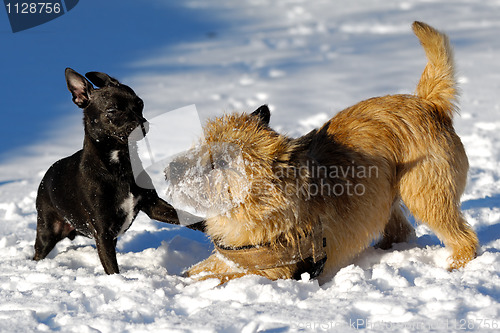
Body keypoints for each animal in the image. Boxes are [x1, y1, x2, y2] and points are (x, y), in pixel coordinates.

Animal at [33, 67, 203, 272]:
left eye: (140, 103)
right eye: (112, 110)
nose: (142, 122)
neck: (118, 164)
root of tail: (46, 176)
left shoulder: (153, 206)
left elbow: (188, 217)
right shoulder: (103, 233)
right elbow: (112, 270)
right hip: (47, 231)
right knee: (38, 252)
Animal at [164, 22, 476, 284]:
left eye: (220, 162)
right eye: (201, 145)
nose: (169, 170)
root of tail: (427, 103)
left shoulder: (271, 271)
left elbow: (216, 278)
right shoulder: (235, 259)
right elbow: (199, 269)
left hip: (426, 194)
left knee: (464, 237)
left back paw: (456, 264)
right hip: (382, 198)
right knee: (401, 231)